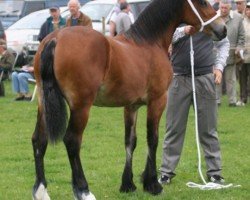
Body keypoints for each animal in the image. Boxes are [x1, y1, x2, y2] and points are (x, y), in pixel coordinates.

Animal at [31, 0, 227, 199]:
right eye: (203, 2)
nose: (223, 29)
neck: (149, 42)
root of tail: (56, 38)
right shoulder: (158, 100)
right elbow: (153, 139)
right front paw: (152, 184)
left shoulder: (131, 106)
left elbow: (130, 141)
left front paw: (128, 184)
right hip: (81, 106)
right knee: (72, 141)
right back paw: (83, 190)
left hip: (43, 103)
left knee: (39, 140)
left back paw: (41, 191)